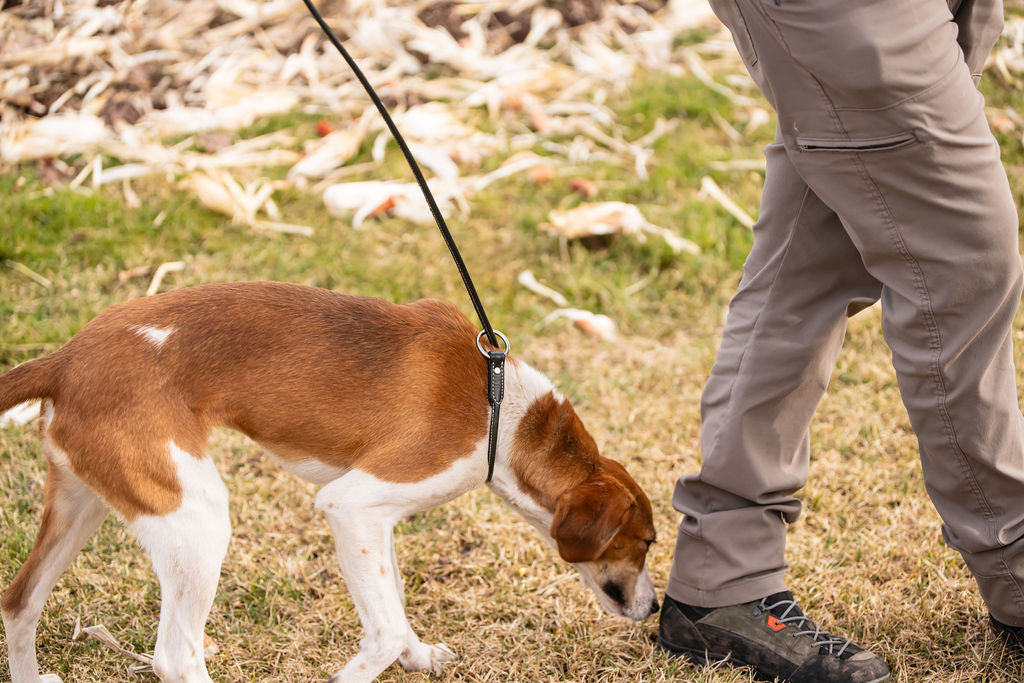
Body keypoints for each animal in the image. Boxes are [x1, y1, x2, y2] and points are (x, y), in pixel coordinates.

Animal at [0, 280, 659, 679]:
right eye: (647, 543)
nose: (654, 609)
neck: (503, 409)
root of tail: (65, 359)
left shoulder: (376, 521)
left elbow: (395, 604)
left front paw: (418, 656)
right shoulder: (352, 505)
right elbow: (383, 632)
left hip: (83, 504)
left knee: (19, 601)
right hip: (197, 521)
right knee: (176, 657)